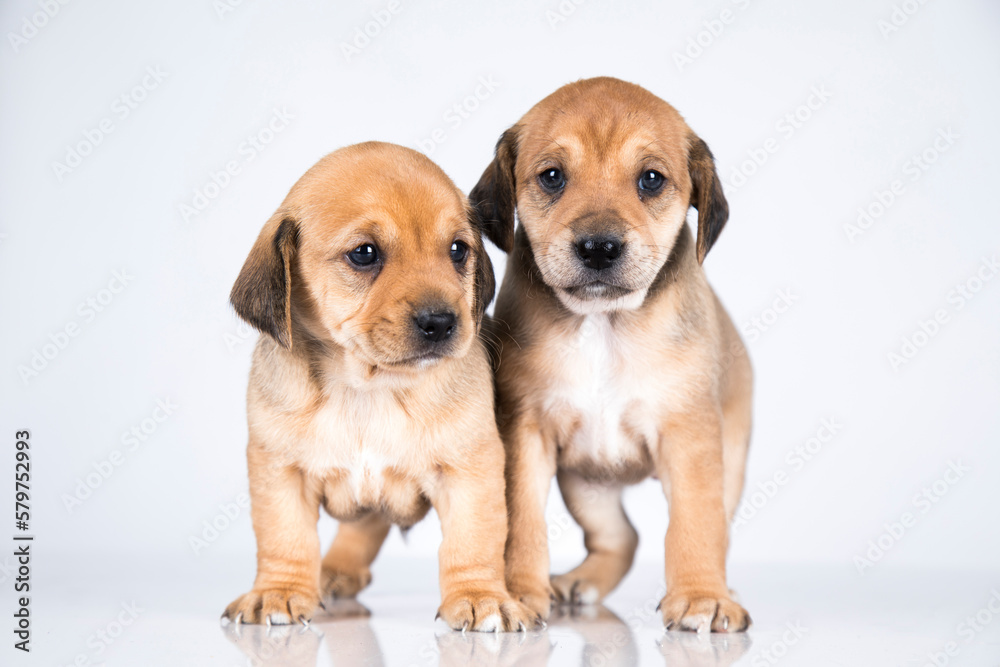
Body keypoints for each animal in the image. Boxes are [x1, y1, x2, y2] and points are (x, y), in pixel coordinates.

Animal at [225, 141, 540, 632]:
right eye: (365, 253)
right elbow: (284, 537)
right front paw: (280, 591)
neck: (366, 388)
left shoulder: (471, 469)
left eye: (458, 250)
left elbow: (474, 540)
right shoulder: (279, 471)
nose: (442, 322)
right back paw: (335, 572)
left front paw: (480, 596)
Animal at [472, 77, 752, 632]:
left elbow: (696, 524)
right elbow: (523, 522)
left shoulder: (690, 439)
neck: (604, 325)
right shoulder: (526, 433)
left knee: (711, 530)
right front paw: (520, 593)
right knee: (621, 537)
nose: (598, 248)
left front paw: (701, 596)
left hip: (729, 463)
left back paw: (722, 587)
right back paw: (577, 583)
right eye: (552, 177)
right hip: (587, 485)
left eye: (651, 180)